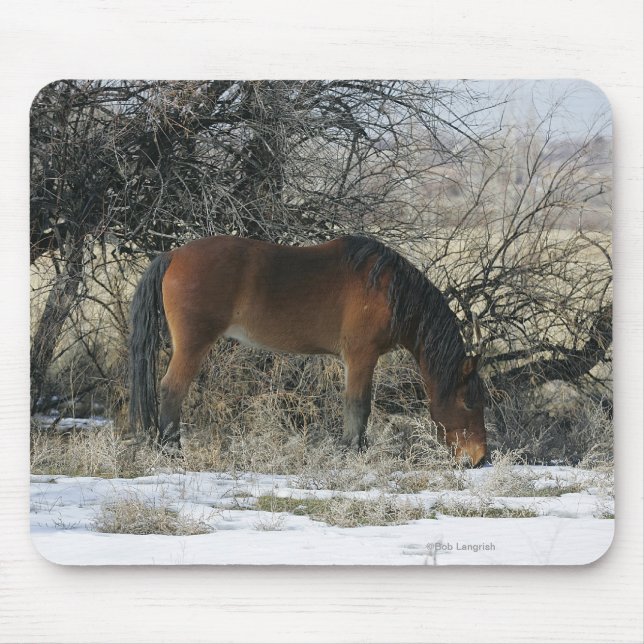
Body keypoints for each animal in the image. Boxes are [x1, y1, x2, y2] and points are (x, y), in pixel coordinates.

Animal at [128, 235, 487, 466]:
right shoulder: (361, 356)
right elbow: (358, 407)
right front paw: (354, 454)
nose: (479, 458)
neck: (389, 289)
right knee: (172, 390)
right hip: (193, 345)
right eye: (469, 401)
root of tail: (173, 255)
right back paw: (172, 452)